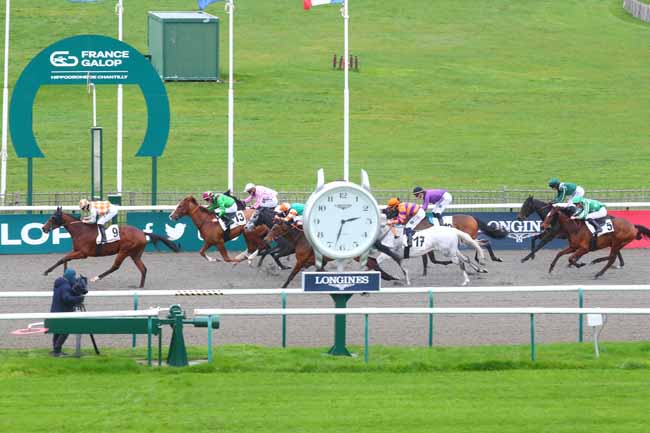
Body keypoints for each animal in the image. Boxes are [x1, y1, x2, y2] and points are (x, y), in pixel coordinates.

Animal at [40, 207, 178, 286]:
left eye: (53, 217)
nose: (43, 228)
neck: (81, 230)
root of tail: (142, 233)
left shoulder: (83, 253)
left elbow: (63, 258)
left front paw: (47, 271)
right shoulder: (76, 251)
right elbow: (64, 259)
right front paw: (63, 275)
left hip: (124, 251)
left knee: (115, 266)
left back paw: (96, 278)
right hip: (135, 254)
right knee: (143, 269)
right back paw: (140, 287)